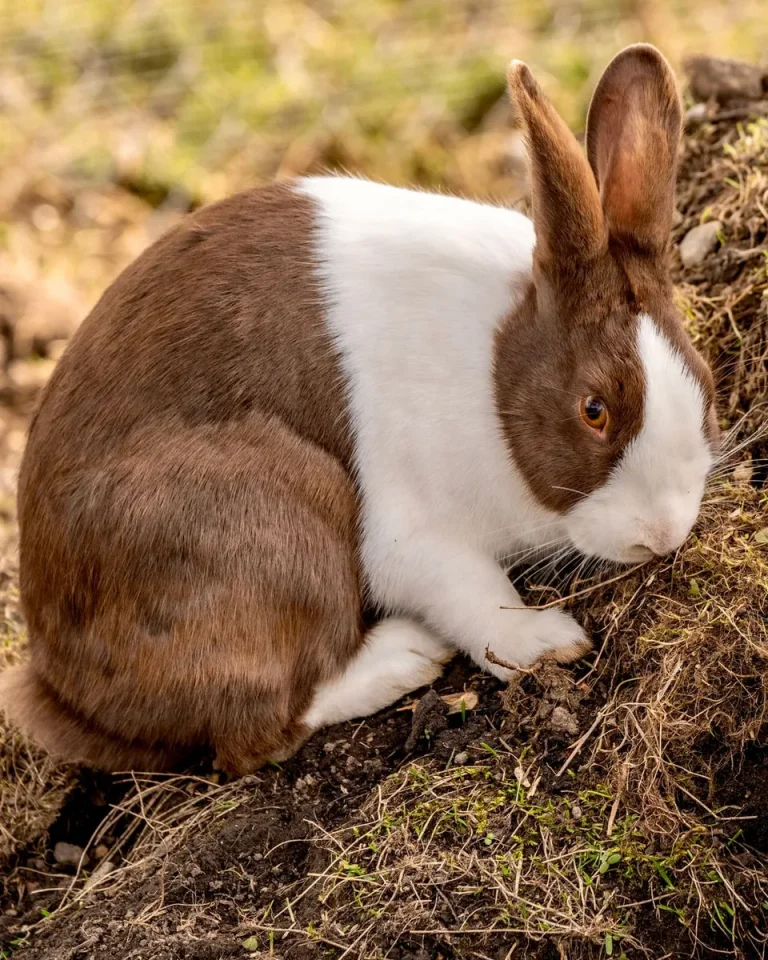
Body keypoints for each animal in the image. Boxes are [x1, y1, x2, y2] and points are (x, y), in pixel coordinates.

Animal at [0, 44, 718, 775]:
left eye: (705, 383)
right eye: (594, 409)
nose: (663, 534)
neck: (494, 368)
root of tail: (62, 688)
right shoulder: (411, 534)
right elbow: (473, 592)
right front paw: (545, 642)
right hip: (273, 515)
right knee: (257, 731)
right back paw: (406, 657)